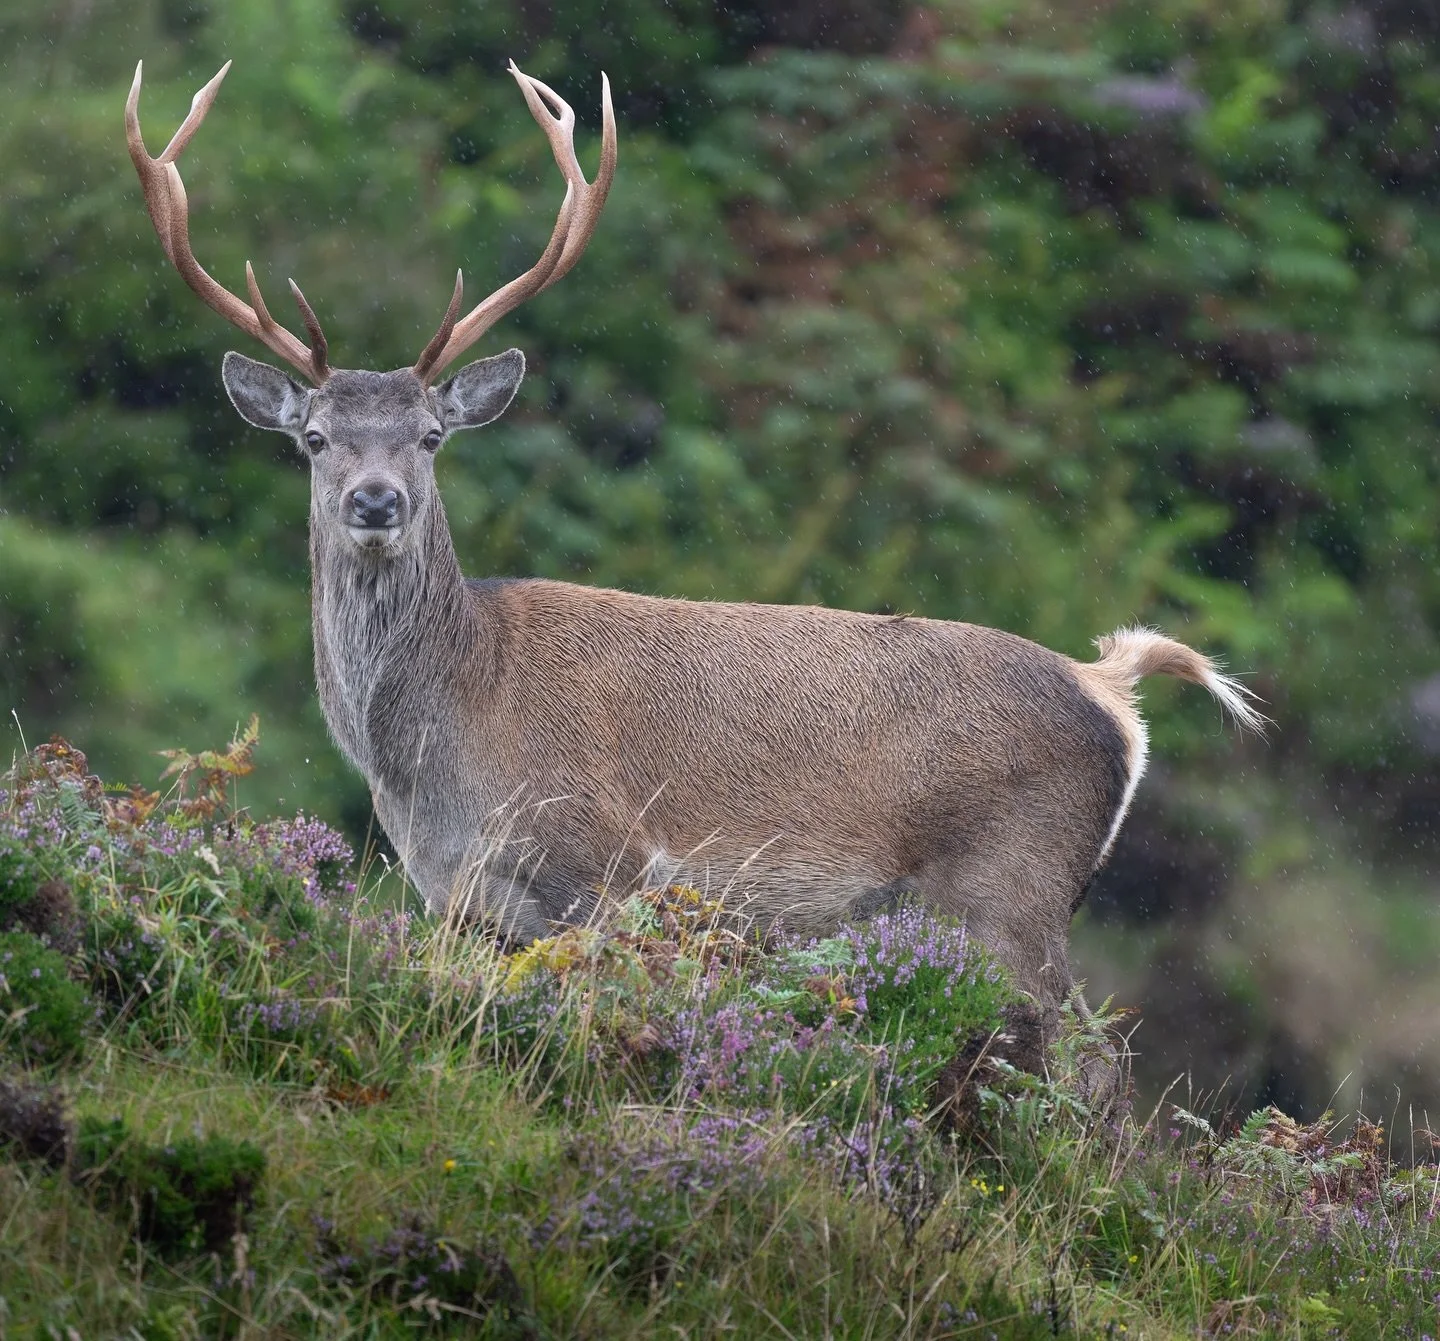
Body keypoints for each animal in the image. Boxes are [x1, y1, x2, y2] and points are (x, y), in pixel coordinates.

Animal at [126, 59, 1265, 1025]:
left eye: (431, 437)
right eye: (315, 438)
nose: (375, 501)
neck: (438, 744)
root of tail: (1110, 689)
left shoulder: (606, 863)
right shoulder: (461, 902)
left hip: (1013, 889)